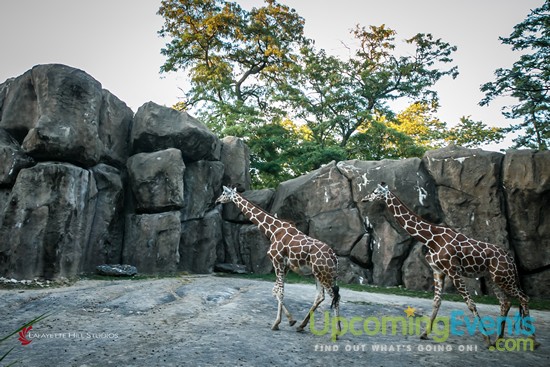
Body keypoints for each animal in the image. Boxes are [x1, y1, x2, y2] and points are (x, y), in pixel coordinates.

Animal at [216, 187, 340, 334]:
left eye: (224, 193)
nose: (217, 200)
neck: (273, 230)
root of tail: (334, 257)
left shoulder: (277, 261)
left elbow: (280, 292)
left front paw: (277, 323)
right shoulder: (285, 266)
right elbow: (275, 290)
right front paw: (291, 321)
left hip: (324, 274)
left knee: (334, 296)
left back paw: (337, 331)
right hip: (320, 274)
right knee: (321, 296)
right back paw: (301, 326)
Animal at [364, 183, 540, 350]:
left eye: (375, 192)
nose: (364, 199)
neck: (430, 239)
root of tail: (510, 258)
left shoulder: (453, 271)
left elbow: (470, 303)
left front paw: (486, 339)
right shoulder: (438, 271)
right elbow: (436, 302)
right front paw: (424, 334)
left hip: (504, 277)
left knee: (523, 298)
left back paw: (533, 340)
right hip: (493, 278)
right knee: (506, 303)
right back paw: (498, 339)